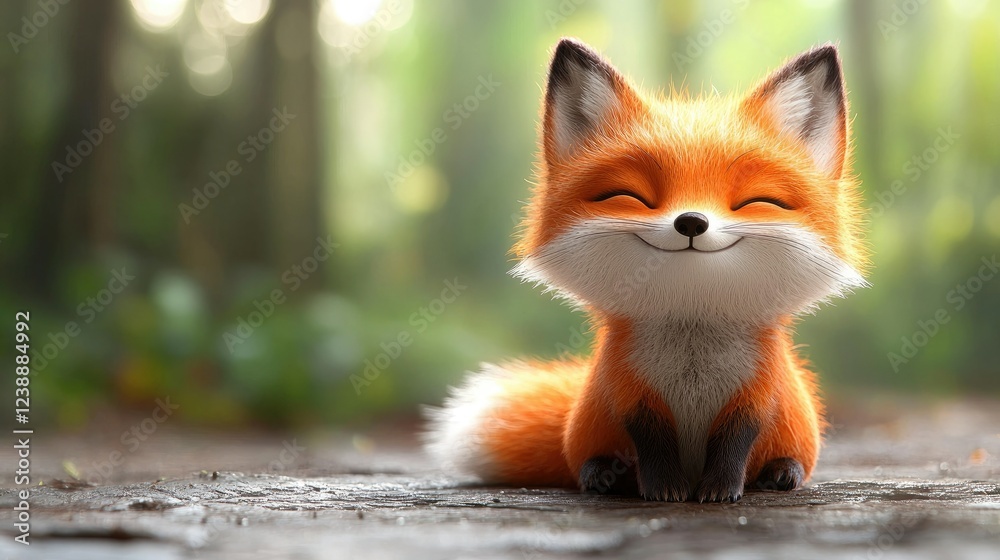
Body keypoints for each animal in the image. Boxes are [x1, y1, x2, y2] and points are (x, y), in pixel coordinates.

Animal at [423, 38, 868, 502]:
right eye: (628, 196)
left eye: (759, 202)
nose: (691, 221)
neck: (692, 331)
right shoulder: (630, 392)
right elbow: (653, 444)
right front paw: (663, 489)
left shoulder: (757, 395)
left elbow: (734, 444)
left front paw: (719, 489)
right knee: (585, 462)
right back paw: (604, 475)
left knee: (788, 458)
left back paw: (781, 472)